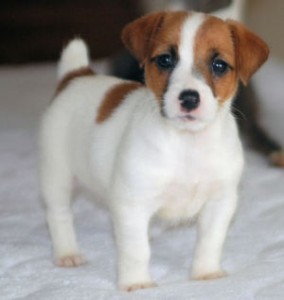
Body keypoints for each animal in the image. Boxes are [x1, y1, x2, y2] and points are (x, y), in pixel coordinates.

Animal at [39, 11, 268, 290]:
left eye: (219, 65)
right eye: (165, 60)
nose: (189, 98)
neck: (187, 144)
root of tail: (76, 76)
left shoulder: (220, 203)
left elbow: (210, 242)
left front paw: (206, 272)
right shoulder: (132, 205)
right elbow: (136, 250)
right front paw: (137, 282)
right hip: (57, 174)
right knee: (58, 215)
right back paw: (67, 253)